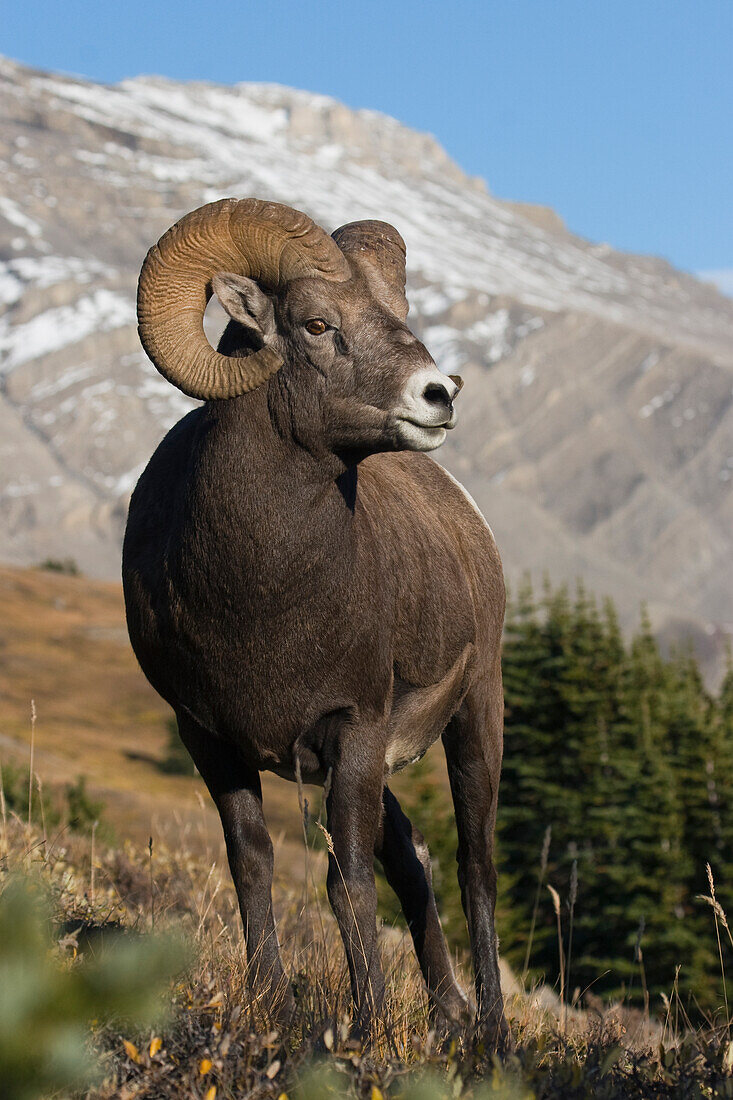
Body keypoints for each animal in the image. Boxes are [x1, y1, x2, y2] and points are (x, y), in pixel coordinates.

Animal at [121, 198, 508, 1047]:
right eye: (317, 324)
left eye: (397, 314)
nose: (439, 395)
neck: (260, 598)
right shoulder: (210, 738)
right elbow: (254, 863)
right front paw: (271, 1007)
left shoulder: (352, 729)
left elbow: (346, 881)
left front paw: (368, 1031)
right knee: (413, 858)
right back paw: (448, 1014)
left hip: (475, 716)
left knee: (475, 867)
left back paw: (492, 1034)